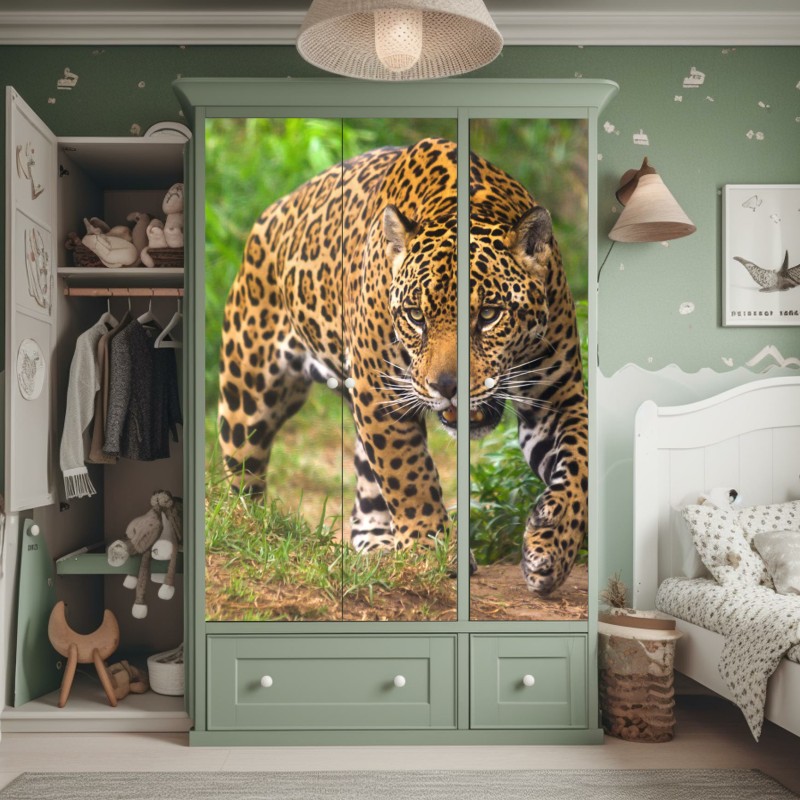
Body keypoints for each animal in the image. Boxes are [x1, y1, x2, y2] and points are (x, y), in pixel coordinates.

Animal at [217, 137, 588, 596]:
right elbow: (409, 474)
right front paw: (432, 550)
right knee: (242, 477)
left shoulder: (558, 399)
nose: (447, 386)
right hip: (249, 396)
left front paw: (551, 544)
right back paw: (248, 529)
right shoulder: (380, 394)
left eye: (489, 315)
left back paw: (377, 545)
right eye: (415, 316)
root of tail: (275, 211)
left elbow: (580, 466)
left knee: (366, 488)